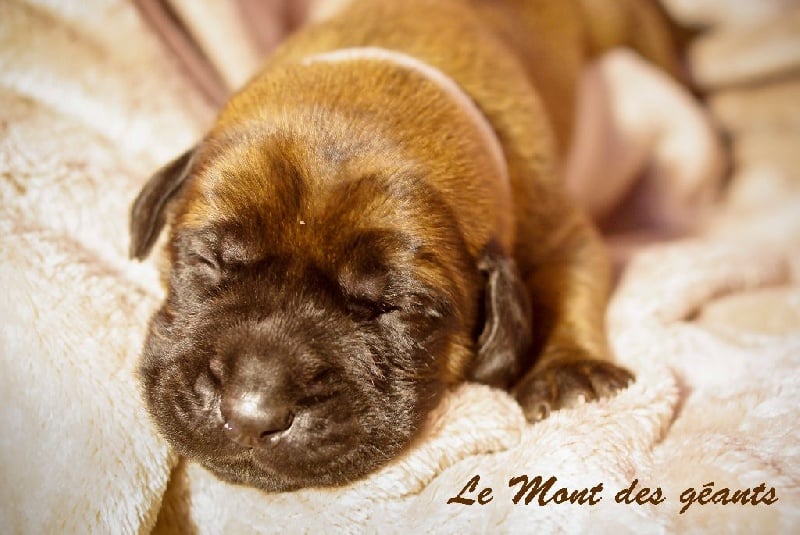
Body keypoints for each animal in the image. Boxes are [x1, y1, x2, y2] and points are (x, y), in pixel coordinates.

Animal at [130, 0, 685, 492]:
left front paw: (571, 371)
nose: (250, 413)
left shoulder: (561, 230)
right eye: (208, 260)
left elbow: (571, 283)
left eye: (397, 308)